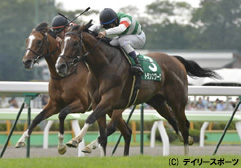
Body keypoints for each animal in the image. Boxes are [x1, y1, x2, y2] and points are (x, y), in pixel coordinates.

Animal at [20, 22, 132, 156]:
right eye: (27, 40)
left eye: (39, 41)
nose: (26, 61)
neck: (64, 76)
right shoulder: (55, 104)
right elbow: (37, 118)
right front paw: (21, 140)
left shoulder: (82, 104)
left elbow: (62, 114)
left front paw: (62, 147)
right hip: (108, 107)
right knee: (126, 132)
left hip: (114, 106)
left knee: (113, 127)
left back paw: (91, 146)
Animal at [55, 22, 220, 155]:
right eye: (62, 43)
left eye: (75, 43)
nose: (60, 66)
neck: (104, 66)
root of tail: (175, 59)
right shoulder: (97, 102)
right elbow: (101, 131)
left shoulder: (109, 99)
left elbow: (92, 119)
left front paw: (76, 140)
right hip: (158, 102)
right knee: (173, 121)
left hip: (177, 102)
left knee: (184, 125)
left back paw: (186, 151)